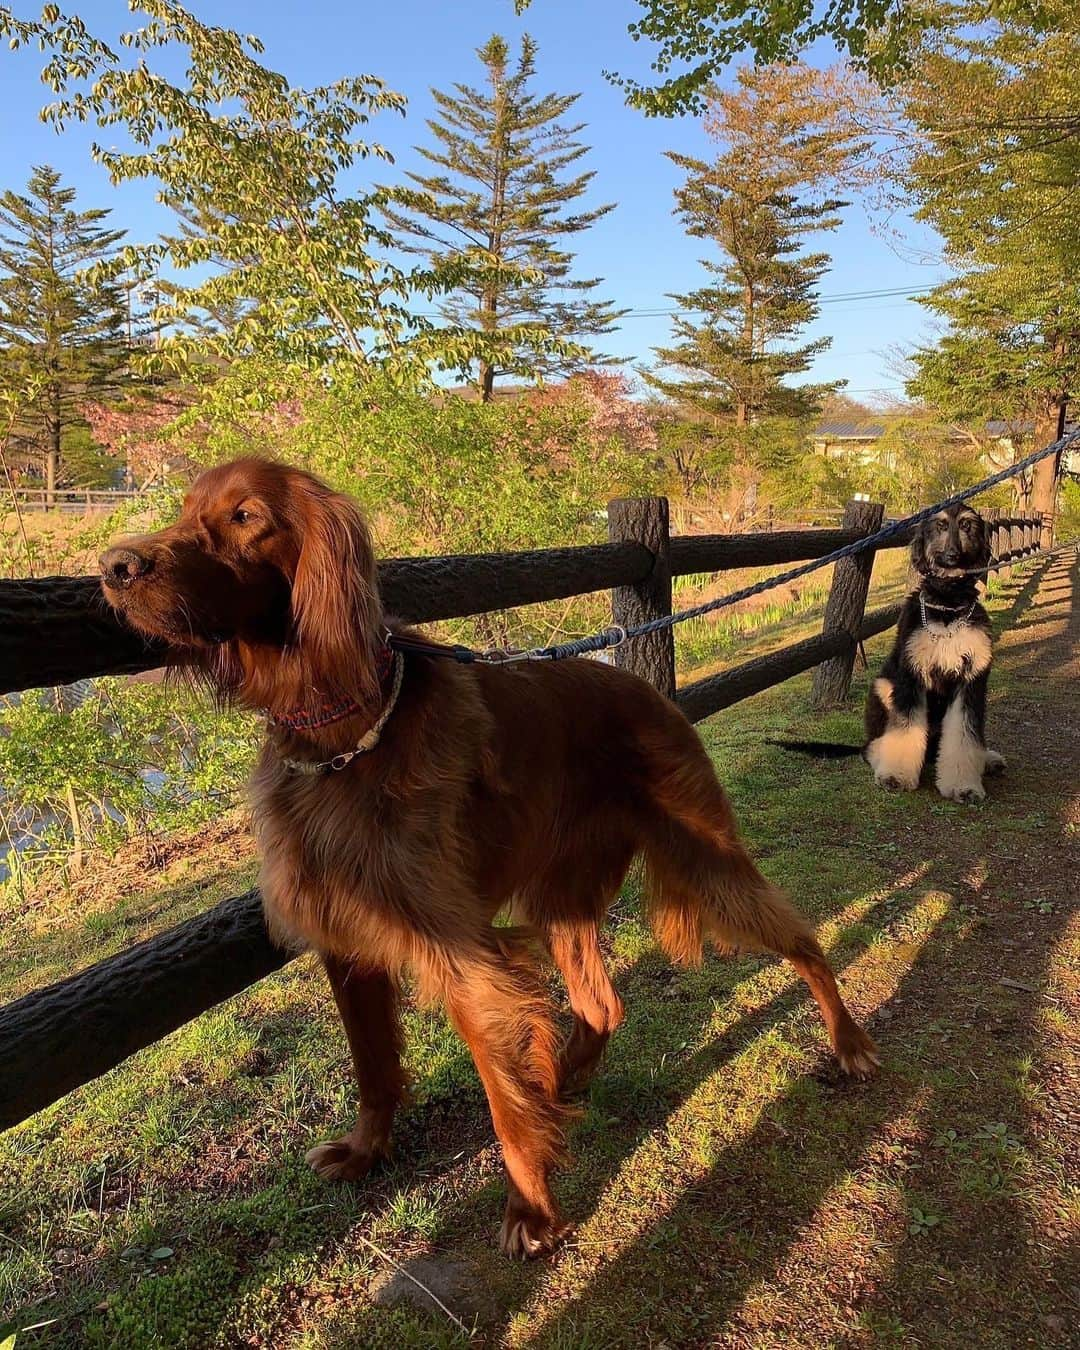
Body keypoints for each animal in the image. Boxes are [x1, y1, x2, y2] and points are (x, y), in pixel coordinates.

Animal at [99, 459, 874, 1258]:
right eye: (185, 509)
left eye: (246, 515)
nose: (114, 567)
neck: (343, 739)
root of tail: (646, 684)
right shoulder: (347, 936)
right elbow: (373, 1065)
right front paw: (367, 1150)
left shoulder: (460, 949)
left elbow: (499, 1100)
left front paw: (530, 1208)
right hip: (563, 897)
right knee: (600, 1005)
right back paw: (559, 1085)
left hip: (704, 855)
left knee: (801, 939)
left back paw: (848, 1042)